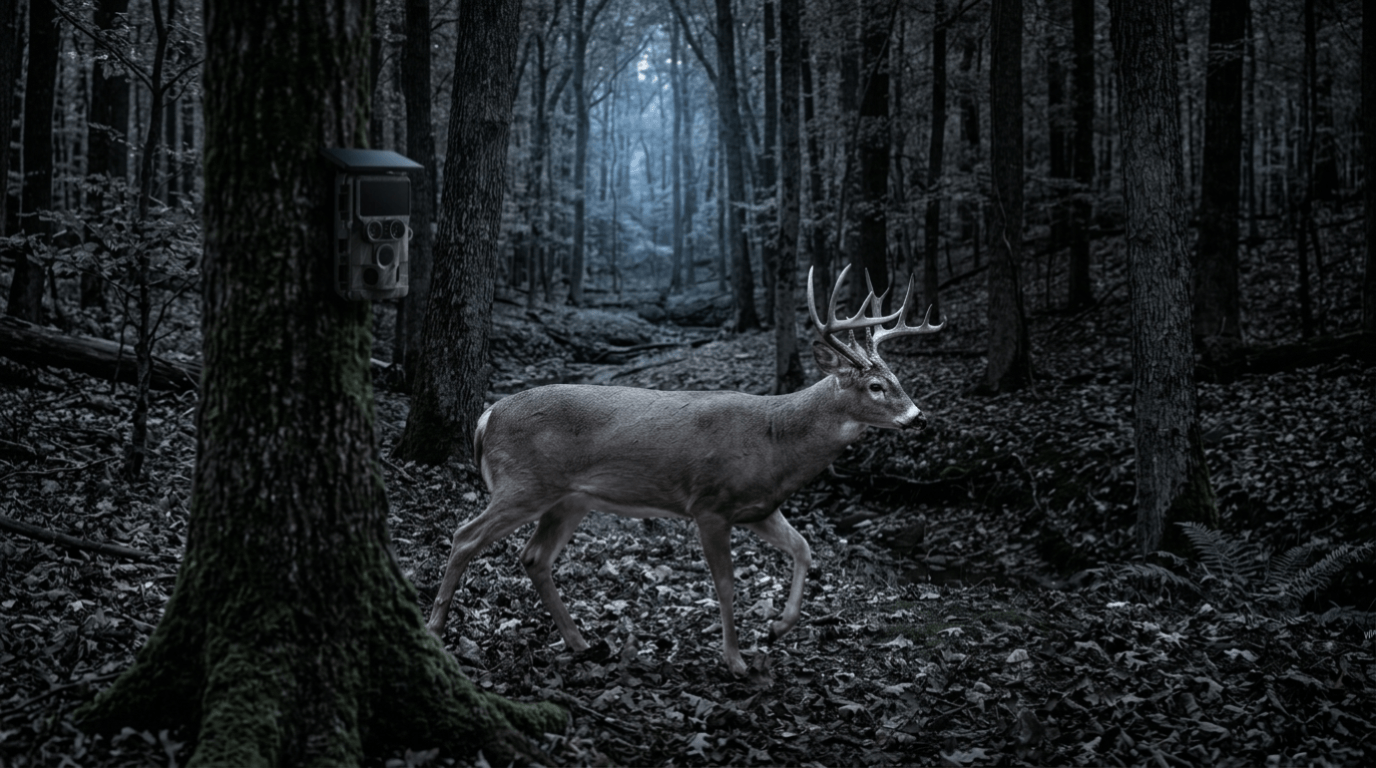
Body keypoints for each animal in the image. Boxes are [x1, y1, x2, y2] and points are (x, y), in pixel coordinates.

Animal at [426, 265, 943, 676]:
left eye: (898, 378)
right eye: (876, 386)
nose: (919, 417)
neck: (775, 441)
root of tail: (486, 416)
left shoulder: (759, 508)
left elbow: (803, 548)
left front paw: (777, 627)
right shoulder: (709, 505)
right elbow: (726, 584)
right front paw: (735, 660)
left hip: (568, 499)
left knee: (533, 557)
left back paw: (582, 642)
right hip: (524, 483)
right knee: (465, 535)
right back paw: (434, 627)